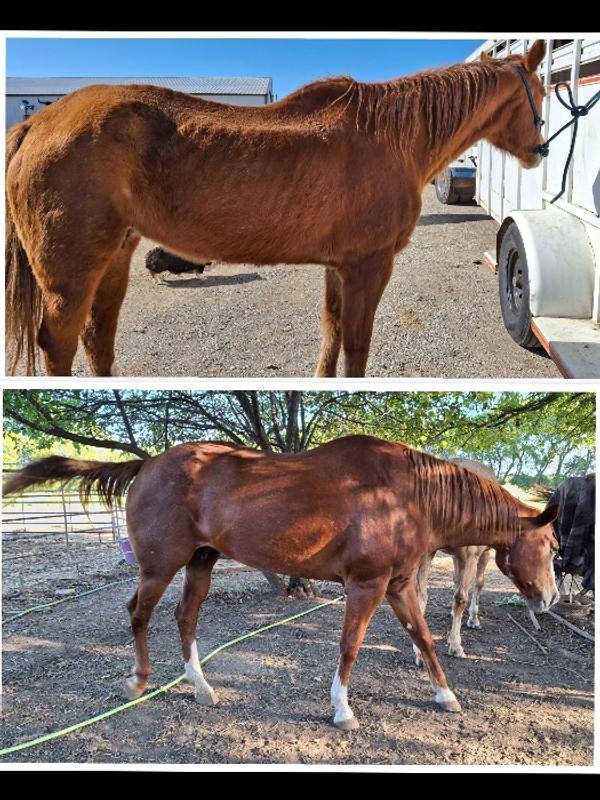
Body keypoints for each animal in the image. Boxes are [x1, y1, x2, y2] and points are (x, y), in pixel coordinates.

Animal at [4, 434, 560, 731]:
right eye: (553, 545)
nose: (550, 598)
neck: (406, 494)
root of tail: (149, 462)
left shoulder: (399, 585)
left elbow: (423, 637)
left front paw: (446, 695)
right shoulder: (366, 586)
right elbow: (350, 646)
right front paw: (342, 710)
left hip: (201, 563)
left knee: (185, 618)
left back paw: (201, 688)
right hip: (160, 567)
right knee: (139, 613)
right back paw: (138, 681)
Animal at [5, 41, 547, 377]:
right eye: (540, 91)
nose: (540, 150)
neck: (391, 137)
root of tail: (38, 123)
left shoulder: (339, 268)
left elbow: (331, 338)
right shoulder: (368, 267)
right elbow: (355, 348)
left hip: (116, 255)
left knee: (98, 339)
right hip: (69, 272)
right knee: (59, 344)